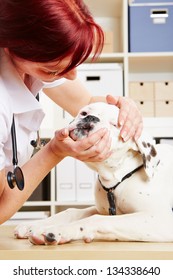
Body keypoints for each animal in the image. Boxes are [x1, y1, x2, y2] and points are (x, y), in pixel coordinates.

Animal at [14, 101, 173, 244]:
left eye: (115, 124)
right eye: (84, 113)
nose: (91, 117)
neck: (120, 177)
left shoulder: (160, 219)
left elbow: (96, 219)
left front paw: (58, 231)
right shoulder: (100, 209)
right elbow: (72, 211)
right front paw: (33, 225)